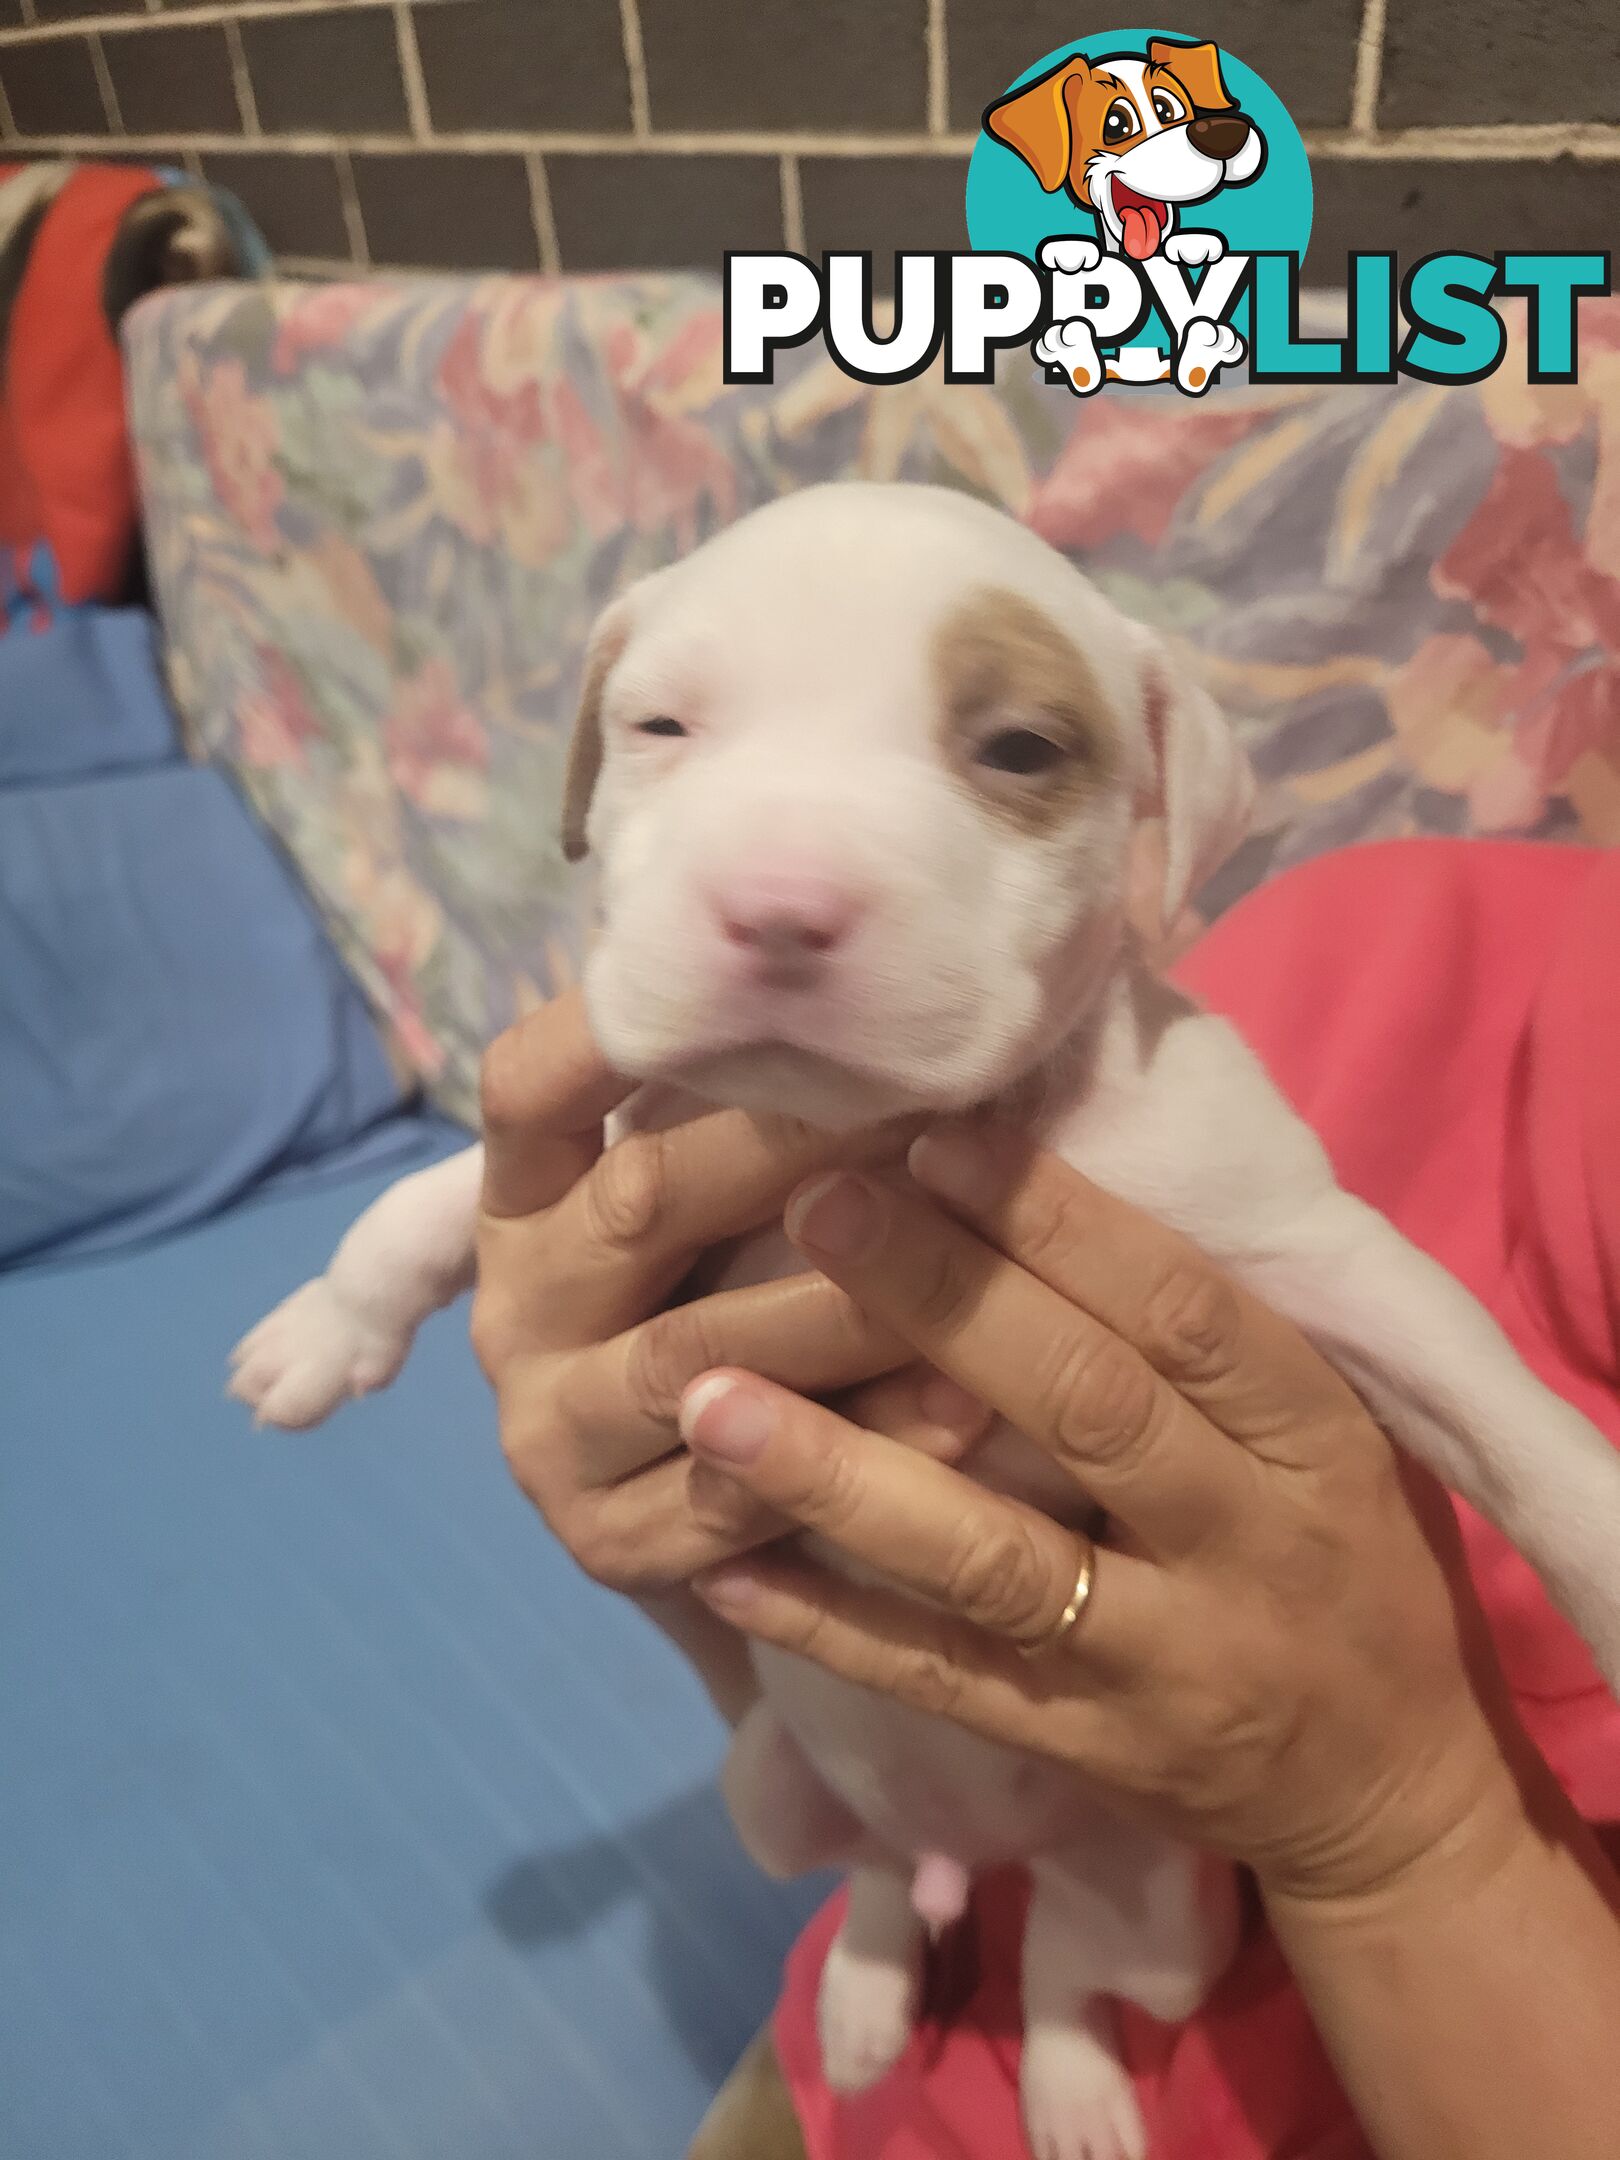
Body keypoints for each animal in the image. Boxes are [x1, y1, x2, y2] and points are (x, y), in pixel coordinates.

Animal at [231, 486, 1620, 2160]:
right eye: (661, 727)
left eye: (1018, 749)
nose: (777, 908)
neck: (874, 1136)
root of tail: (997, 1851)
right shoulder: (632, 1141)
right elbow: (430, 1207)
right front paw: (324, 1326)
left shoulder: (1297, 1244)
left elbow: (1491, 1399)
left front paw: (1610, 1569)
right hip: (773, 1787)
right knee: (886, 1873)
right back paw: (872, 1991)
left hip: (1180, 1911)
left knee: (1067, 1974)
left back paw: (1071, 2089)